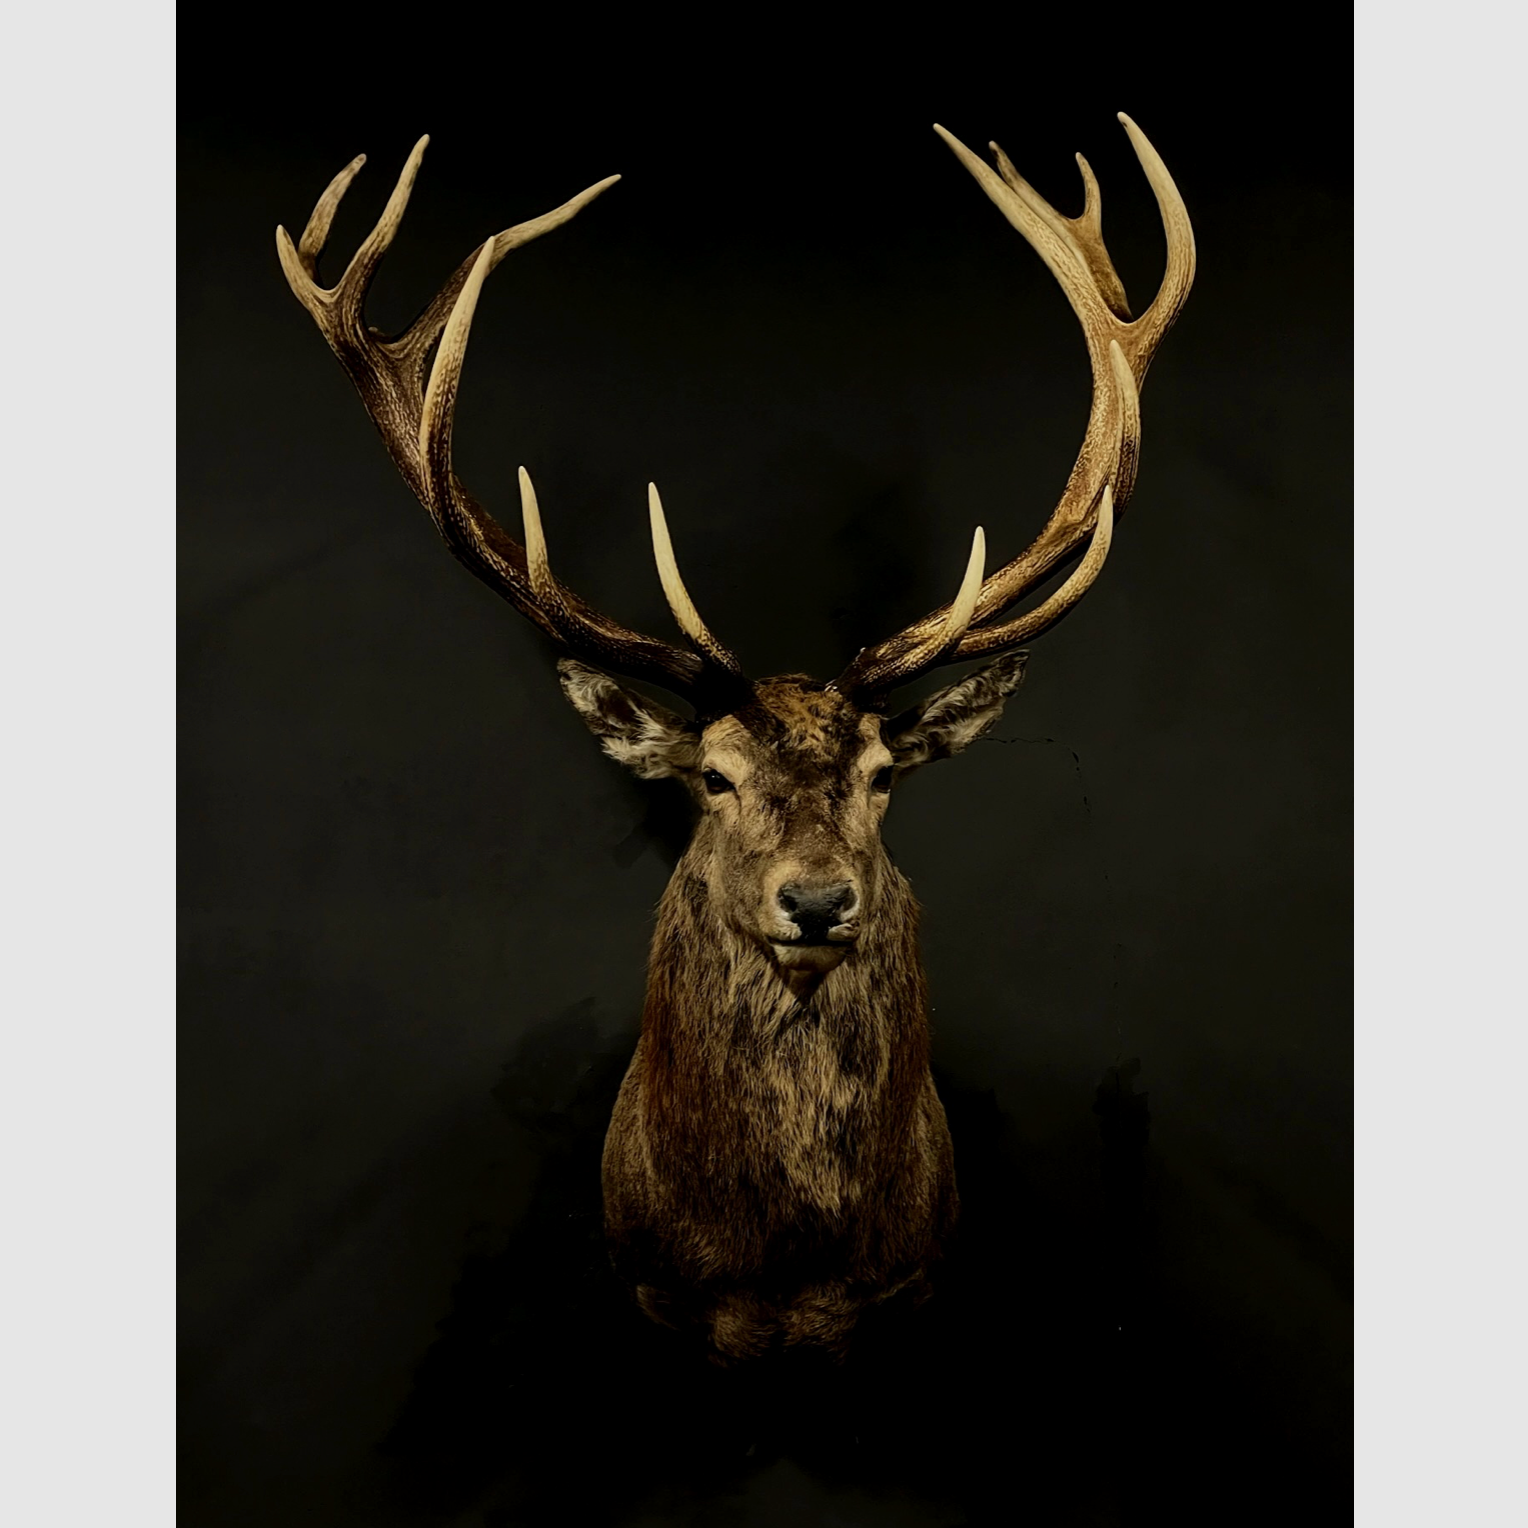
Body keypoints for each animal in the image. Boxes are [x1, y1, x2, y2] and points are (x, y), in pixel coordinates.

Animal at [276, 113, 1194, 1364]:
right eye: (711, 777)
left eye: (882, 776)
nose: (814, 900)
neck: (782, 1270)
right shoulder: (652, 1286)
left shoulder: (913, 1282)